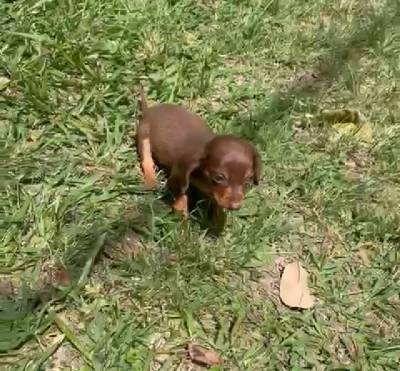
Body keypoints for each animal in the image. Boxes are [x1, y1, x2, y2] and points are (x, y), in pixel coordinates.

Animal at [136, 86, 260, 218]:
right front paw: (181, 213)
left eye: (248, 180)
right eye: (219, 177)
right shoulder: (180, 173)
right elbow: (182, 193)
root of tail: (148, 110)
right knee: (147, 160)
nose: (236, 207)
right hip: (143, 135)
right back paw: (151, 180)